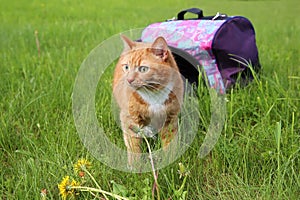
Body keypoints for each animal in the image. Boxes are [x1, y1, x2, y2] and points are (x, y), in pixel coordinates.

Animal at [112, 34, 183, 166]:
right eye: (126, 67)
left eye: (143, 69)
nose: (129, 80)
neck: (153, 94)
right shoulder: (130, 120)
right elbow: (133, 146)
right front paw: (134, 166)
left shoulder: (170, 118)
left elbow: (169, 143)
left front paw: (170, 161)